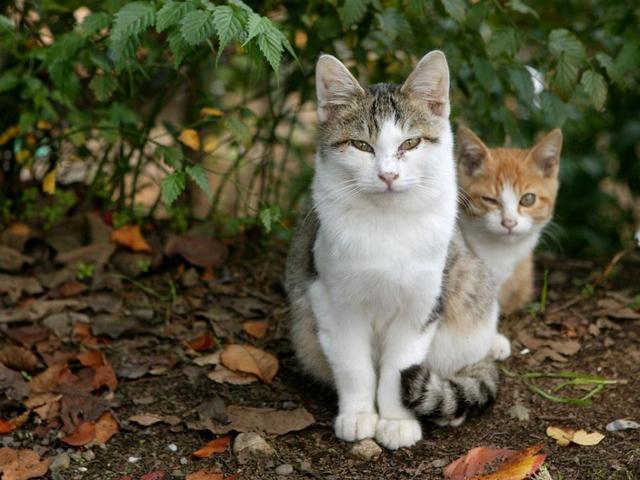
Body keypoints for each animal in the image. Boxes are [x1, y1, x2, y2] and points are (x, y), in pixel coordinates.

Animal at [284, 52, 510, 450]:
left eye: (411, 143)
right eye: (361, 146)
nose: (388, 175)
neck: (387, 224)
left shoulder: (420, 306)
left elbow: (396, 369)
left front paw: (395, 420)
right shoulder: (332, 302)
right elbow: (354, 367)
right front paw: (359, 415)